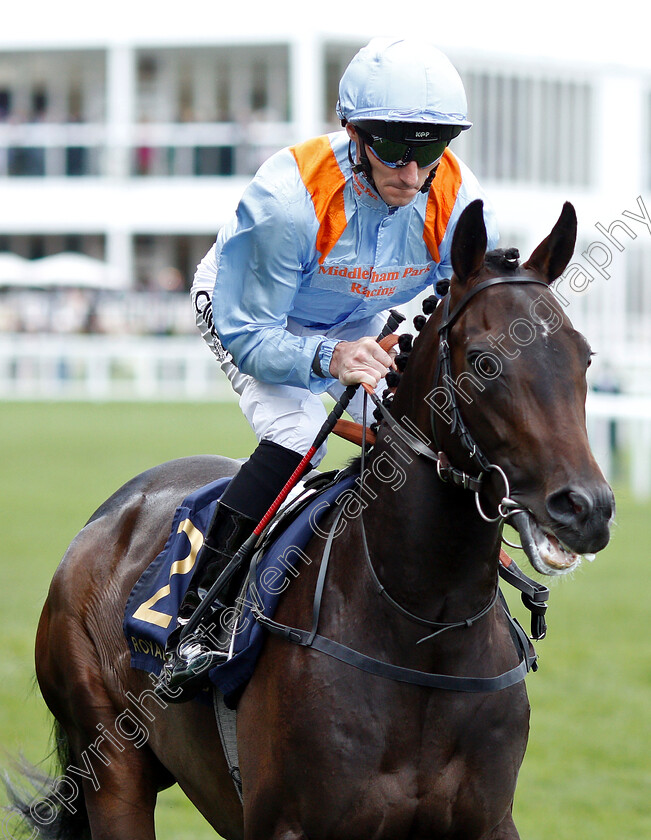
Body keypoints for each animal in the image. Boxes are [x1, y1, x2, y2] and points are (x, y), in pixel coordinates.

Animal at [7, 202, 612, 840]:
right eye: (484, 361)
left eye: (584, 355)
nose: (586, 507)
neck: (425, 629)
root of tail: (109, 515)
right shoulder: (289, 823)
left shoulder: (490, 821)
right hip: (113, 765)